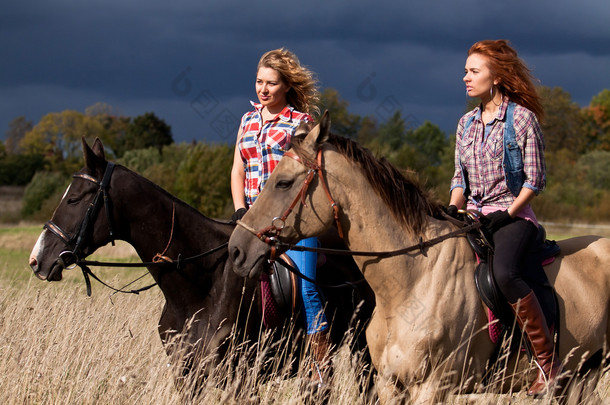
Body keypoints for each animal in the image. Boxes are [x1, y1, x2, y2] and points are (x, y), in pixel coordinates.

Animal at [28, 138, 372, 392]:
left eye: (75, 199)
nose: (37, 259)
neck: (200, 285)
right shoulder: (186, 378)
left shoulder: (241, 380)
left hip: (361, 348)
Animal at [228, 112, 608, 402]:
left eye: (283, 182)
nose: (237, 249)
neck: (412, 280)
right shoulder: (389, 384)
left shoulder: (433, 387)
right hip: (579, 377)